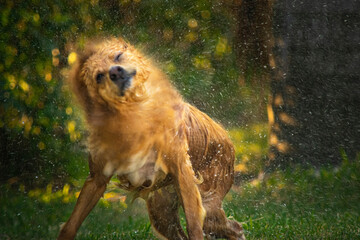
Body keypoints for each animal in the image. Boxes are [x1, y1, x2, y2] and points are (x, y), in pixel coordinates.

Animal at [57, 37, 246, 240]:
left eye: (118, 56)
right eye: (99, 76)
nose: (115, 71)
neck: (135, 113)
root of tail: (226, 137)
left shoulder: (181, 171)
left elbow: (194, 225)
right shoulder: (97, 178)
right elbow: (71, 224)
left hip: (207, 202)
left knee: (233, 227)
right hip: (161, 213)